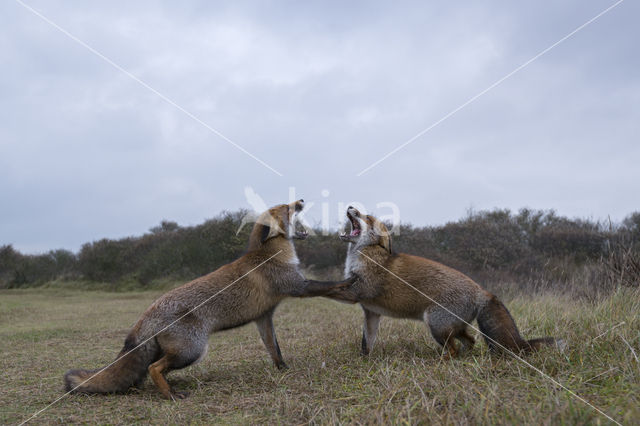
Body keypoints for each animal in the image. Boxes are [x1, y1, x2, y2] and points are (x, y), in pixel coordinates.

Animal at [65, 200, 356, 400]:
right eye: (287, 208)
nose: (301, 199)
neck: (269, 255)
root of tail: (147, 313)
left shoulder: (264, 317)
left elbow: (275, 349)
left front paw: (283, 369)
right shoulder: (297, 286)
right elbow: (328, 286)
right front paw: (349, 281)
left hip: (175, 351)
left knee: (146, 369)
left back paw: (165, 388)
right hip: (192, 350)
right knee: (154, 368)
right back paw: (170, 395)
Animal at [328, 206, 564, 356]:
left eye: (367, 217)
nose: (350, 206)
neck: (366, 255)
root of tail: (482, 291)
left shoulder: (359, 290)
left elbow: (330, 289)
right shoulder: (371, 312)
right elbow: (367, 344)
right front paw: (364, 361)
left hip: (435, 324)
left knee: (453, 349)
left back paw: (442, 361)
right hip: (452, 327)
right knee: (471, 341)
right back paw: (466, 357)